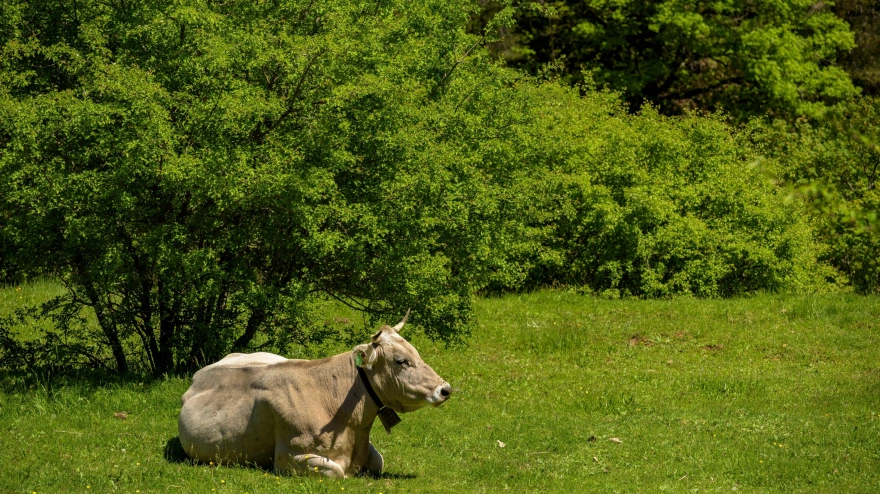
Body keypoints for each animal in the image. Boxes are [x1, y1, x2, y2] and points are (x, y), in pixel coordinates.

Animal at [177, 312, 452, 478]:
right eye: (401, 361)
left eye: (416, 352)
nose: (445, 389)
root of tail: (199, 374)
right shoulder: (287, 457)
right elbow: (336, 471)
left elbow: (379, 460)